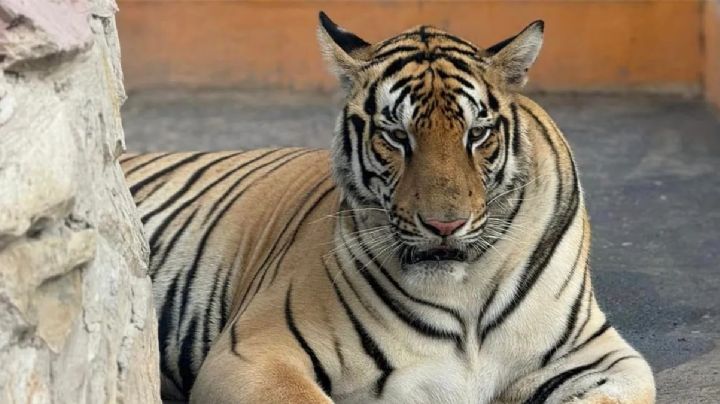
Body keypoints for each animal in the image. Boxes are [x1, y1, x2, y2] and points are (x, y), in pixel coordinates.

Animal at [121, 12, 656, 404]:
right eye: (397, 136)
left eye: (477, 133)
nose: (445, 225)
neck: (464, 294)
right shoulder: (255, 352)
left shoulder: (602, 358)